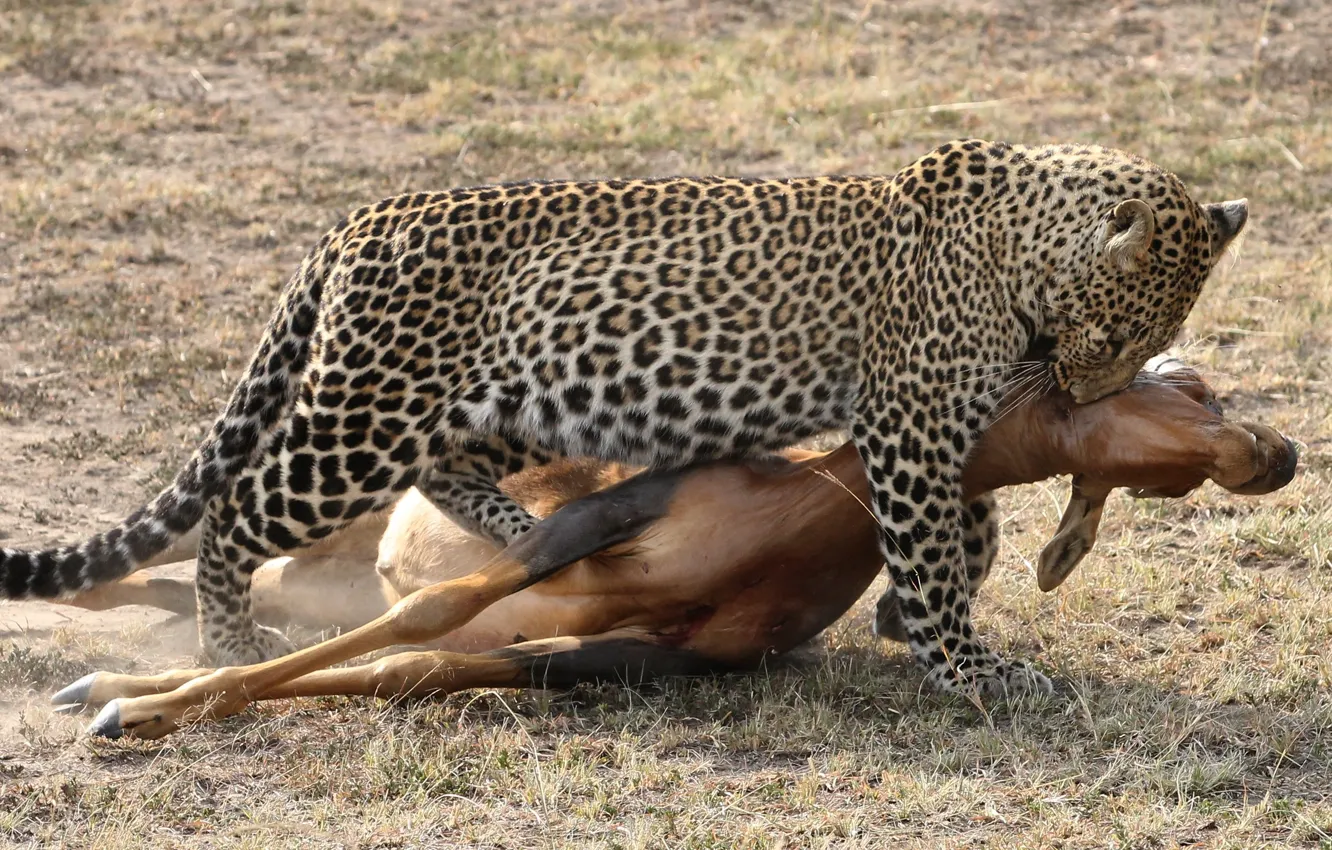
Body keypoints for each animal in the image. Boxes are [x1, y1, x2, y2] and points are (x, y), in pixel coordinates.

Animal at [0, 141, 1246, 698]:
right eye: (1113, 333)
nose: (1085, 395)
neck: (1021, 246)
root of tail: (365, 215)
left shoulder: (930, 432)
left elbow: (966, 532)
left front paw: (914, 616)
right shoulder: (910, 423)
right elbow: (939, 550)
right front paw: (965, 665)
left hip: (530, 396)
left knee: (455, 472)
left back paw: (530, 536)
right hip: (363, 415)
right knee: (235, 514)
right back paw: (227, 643)